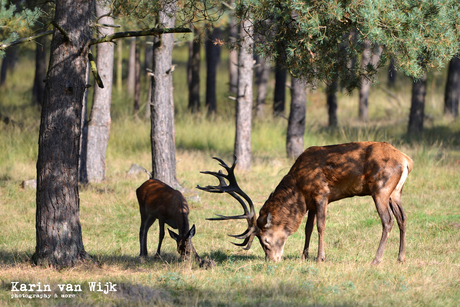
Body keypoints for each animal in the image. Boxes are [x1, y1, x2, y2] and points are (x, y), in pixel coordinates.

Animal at [198, 142, 414, 264]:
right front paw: (304, 256)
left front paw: (320, 258)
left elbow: (320, 226)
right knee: (403, 218)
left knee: (387, 221)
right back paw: (400, 258)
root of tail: (406, 160)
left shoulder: (321, 193)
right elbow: (307, 228)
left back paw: (376, 259)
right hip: (396, 192)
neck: (298, 186)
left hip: (381, 189)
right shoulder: (309, 202)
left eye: (265, 240)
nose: (272, 261)